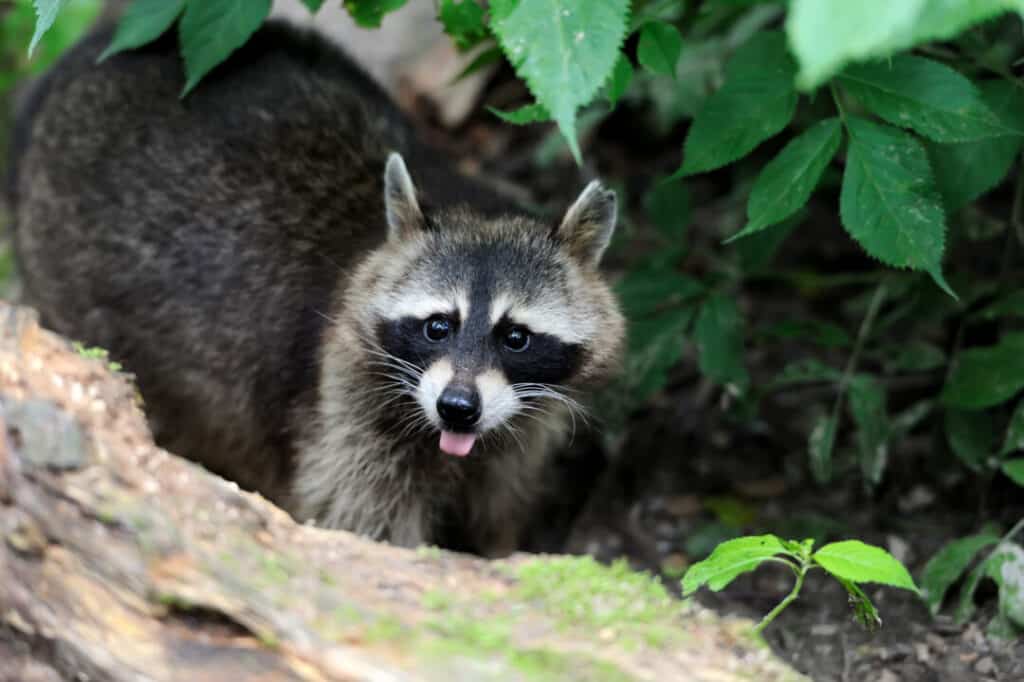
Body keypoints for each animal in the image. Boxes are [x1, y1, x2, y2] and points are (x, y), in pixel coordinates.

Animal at [7, 22, 625, 555]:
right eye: (437, 326)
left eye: (515, 337)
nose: (457, 409)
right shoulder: (343, 404)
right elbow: (360, 521)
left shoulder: (522, 430)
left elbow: (498, 506)